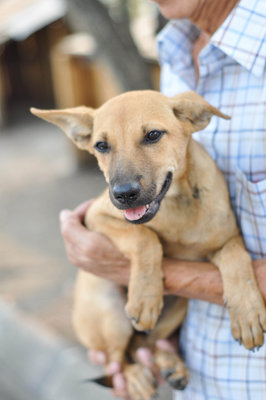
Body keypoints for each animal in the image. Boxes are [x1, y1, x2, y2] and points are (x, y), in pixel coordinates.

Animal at [31, 91, 266, 400]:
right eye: (101, 145)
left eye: (153, 135)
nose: (123, 194)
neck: (176, 204)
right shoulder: (96, 216)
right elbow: (145, 237)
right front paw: (145, 295)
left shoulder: (228, 239)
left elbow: (238, 259)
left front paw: (247, 312)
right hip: (110, 311)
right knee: (117, 360)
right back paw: (137, 378)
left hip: (179, 306)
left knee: (144, 343)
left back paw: (170, 364)